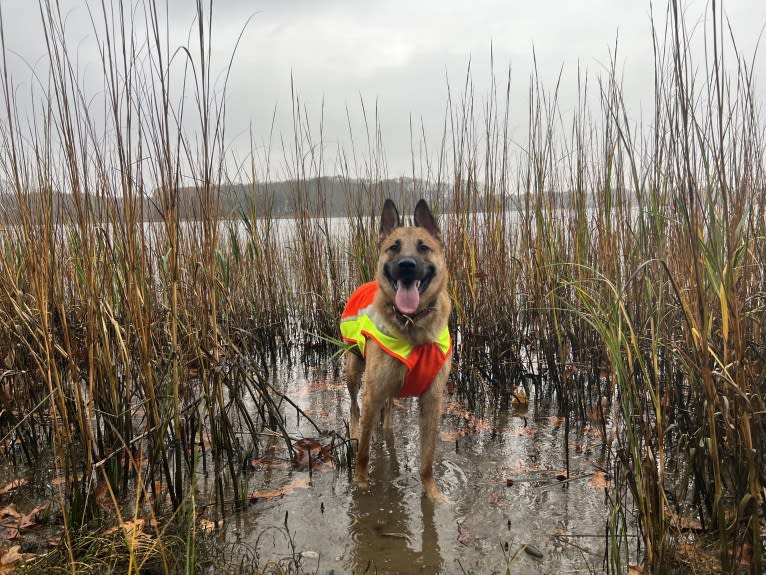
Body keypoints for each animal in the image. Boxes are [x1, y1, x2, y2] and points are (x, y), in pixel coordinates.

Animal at [340, 200, 452, 502]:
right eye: (394, 247)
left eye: (424, 247)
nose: (406, 266)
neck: (412, 323)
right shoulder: (373, 392)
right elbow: (364, 454)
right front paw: (361, 486)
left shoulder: (432, 400)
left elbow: (427, 461)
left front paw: (433, 495)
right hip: (354, 371)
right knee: (353, 407)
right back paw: (353, 430)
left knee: (388, 414)